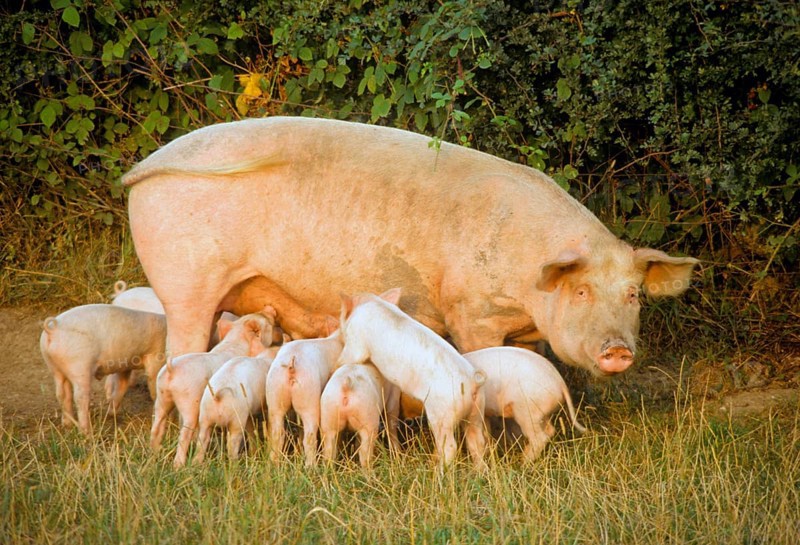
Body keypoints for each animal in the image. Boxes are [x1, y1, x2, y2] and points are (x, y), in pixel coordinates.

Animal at [39, 304, 167, 433]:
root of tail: (53, 329)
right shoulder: (156, 357)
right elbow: (153, 384)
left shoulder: (125, 365)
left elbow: (121, 385)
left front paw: (111, 414)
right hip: (79, 366)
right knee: (79, 398)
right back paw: (86, 432)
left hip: (54, 366)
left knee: (62, 394)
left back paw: (68, 425)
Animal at [124, 116, 698, 376]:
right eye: (581, 292)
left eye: (633, 295)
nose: (619, 349)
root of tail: (142, 168)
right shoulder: (473, 311)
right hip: (185, 280)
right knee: (181, 345)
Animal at [149, 309, 275, 467]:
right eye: (267, 324)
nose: (269, 309)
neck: (236, 340)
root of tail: (172, 369)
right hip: (189, 402)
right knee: (184, 433)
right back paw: (178, 466)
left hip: (161, 396)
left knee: (156, 426)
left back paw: (155, 455)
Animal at [265, 330, 343, 466]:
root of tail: (291, 365)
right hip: (309, 396)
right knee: (310, 437)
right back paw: (311, 467)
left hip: (275, 396)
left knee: (277, 434)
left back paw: (274, 464)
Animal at [338, 289, 487, 469]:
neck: (372, 303)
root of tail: (473, 382)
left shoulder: (356, 341)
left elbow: (349, 357)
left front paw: (338, 362)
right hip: (477, 411)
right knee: (477, 441)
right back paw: (479, 471)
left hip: (441, 413)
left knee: (450, 446)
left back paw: (438, 471)